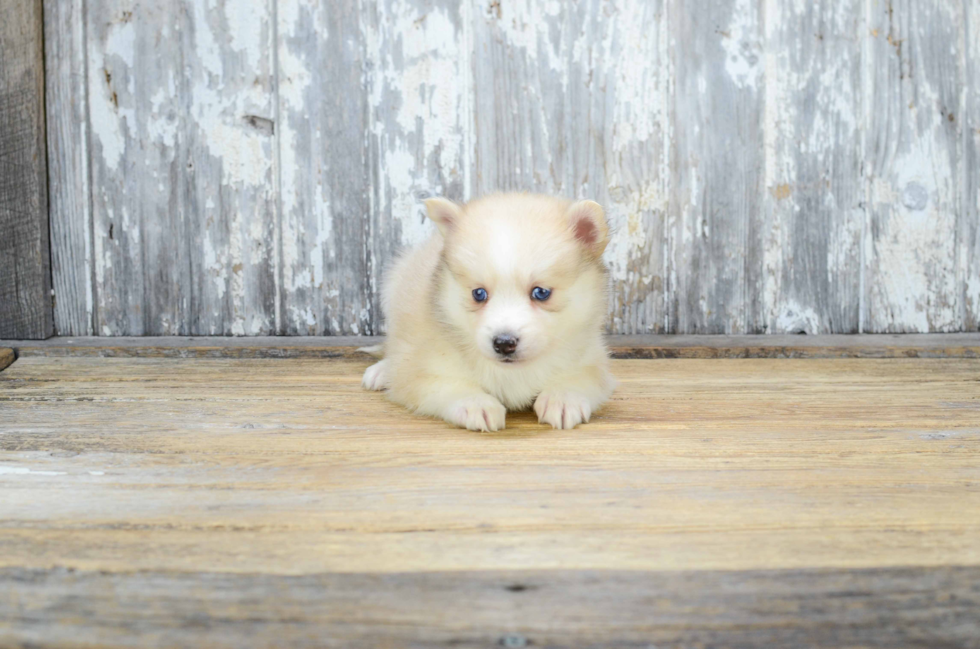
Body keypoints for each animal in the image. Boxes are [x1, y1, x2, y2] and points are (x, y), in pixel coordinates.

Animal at [364, 191, 616, 430]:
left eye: (541, 292)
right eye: (478, 294)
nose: (504, 343)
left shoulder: (592, 359)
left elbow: (581, 379)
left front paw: (562, 399)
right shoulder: (420, 370)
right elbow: (447, 385)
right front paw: (475, 404)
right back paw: (382, 371)